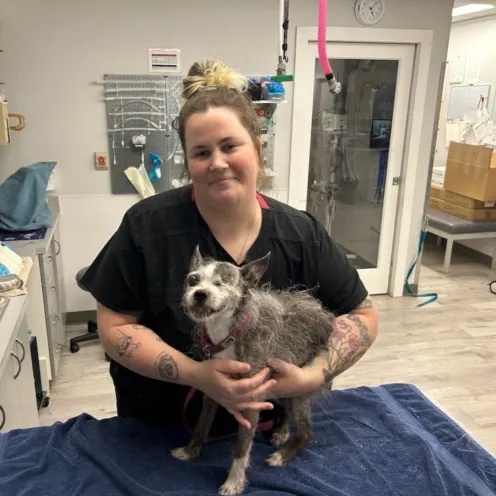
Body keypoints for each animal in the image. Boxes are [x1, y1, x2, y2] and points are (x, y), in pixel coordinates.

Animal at [171, 246, 338, 494]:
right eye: (193, 279)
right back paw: (281, 430)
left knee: (306, 432)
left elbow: (241, 449)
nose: (199, 294)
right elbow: (202, 425)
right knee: (287, 411)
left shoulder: (251, 401)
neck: (229, 335)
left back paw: (283, 454)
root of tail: (322, 315)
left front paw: (233, 482)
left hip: (300, 390)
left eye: (222, 283)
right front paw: (191, 451)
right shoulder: (213, 391)